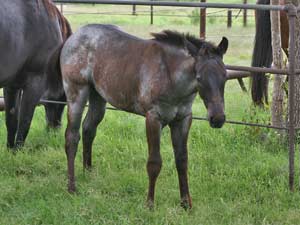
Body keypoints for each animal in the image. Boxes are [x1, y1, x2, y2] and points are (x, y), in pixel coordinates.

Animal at [0, 0, 71, 149]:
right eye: (64, 100)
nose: (55, 129)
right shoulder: (35, 82)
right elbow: (25, 121)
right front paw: (17, 151)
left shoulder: (12, 85)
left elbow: (11, 119)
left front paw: (10, 149)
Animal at [62, 23, 229, 208]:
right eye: (199, 78)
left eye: (225, 76)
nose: (217, 118)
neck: (170, 75)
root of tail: (75, 35)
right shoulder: (153, 118)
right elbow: (154, 162)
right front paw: (149, 204)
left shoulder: (183, 119)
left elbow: (182, 160)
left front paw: (186, 204)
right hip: (76, 93)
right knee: (72, 136)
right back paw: (71, 187)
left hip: (98, 97)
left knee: (88, 129)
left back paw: (88, 172)